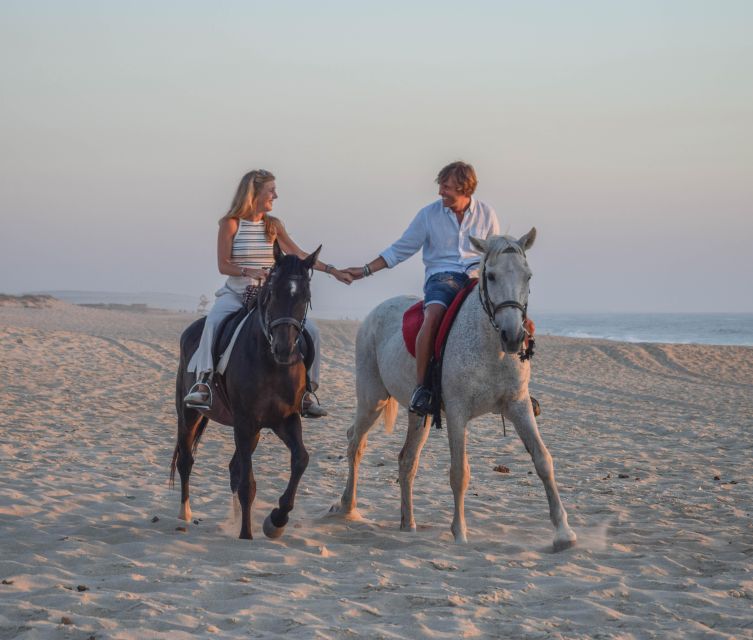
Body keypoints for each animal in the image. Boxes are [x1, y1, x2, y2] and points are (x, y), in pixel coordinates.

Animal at [170, 242, 320, 536]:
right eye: (272, 293)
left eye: (305, 296)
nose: (284, 348)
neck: (271, 363)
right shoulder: (244, 421)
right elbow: (247, 484)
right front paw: (246, 534)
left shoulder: (285, 419)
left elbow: (301, 459)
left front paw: (276, 520)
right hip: (189, 413)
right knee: (186, 460)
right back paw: (184, 514)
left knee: (233, 467)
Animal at [328, 230, 576, 552]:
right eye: (491, 276)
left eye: (528, 276)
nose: (513, 336)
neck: (492, 346)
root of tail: (376, 312)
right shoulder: (458, 413)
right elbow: (459, 472)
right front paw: (459, 532)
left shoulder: (519, 406)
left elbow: (543, 461)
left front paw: (564, 532)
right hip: (373, 400)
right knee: (355, 443)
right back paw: (347, 506)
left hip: (417, 415)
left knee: (406, 460)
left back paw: (408, 523)